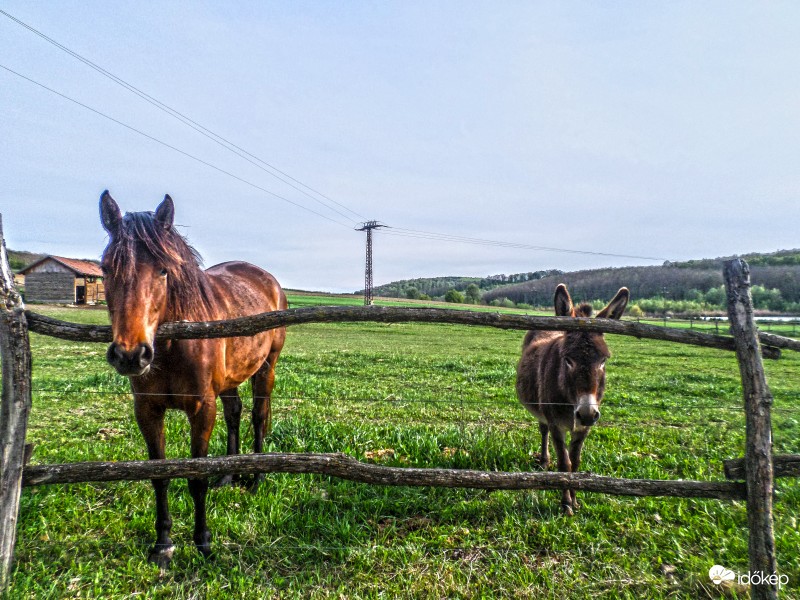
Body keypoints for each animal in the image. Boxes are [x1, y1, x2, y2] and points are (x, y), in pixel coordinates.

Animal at [99, 190, 288, 564]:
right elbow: (159, 476)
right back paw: (228, 476)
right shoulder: (147, 410)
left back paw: (256, 479)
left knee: (259, 416)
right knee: (234, 414)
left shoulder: (201, 409)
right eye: (105, 268)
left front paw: (203, 542)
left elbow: (196, 478)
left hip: (266, 368)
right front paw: (163, 544)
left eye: (163, 270)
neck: (174, 344)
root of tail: (267, 280)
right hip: (229, 381)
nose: (131, 355)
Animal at [516, 284, 628, 512]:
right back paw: (544, 461)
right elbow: (564, 463)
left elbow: (575, 464)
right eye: (567, 360)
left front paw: (575, 499)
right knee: (543, 430)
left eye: (603, 360)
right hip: (543, 412)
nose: (586, 414)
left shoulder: (584, 429)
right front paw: (566, 502)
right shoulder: (556, 425)